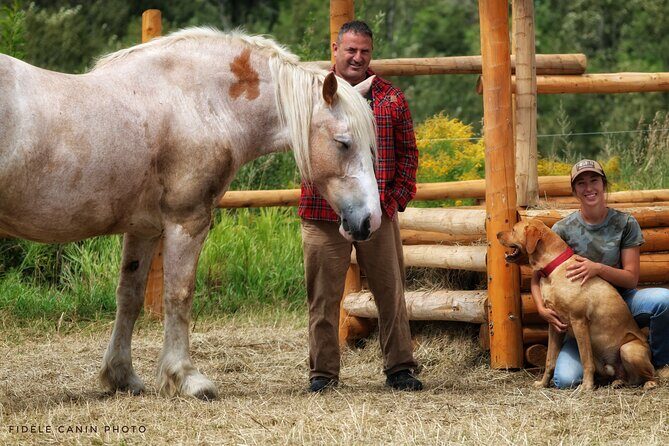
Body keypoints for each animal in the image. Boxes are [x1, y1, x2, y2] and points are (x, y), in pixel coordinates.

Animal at [0, 27, 382, 399]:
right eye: (343, 142)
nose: (370, 220)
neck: (196, 102)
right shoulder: (187, 221)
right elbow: (178, 295)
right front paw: (186, 378)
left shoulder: (144, 230)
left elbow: (129, 297)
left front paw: (122, 376)